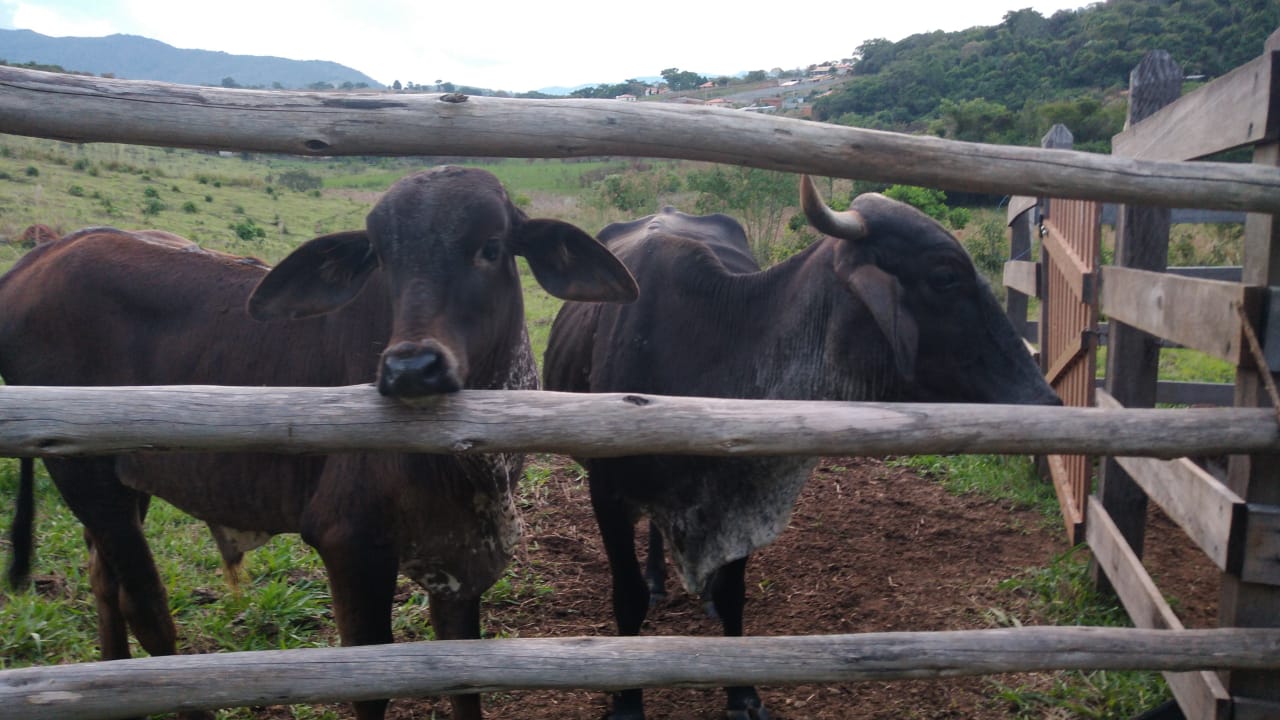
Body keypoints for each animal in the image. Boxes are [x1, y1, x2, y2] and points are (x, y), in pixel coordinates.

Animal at [0, 165, 640, 717]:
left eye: (491, 246)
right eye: (381, 256)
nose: (411, 368)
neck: (471, 462)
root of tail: (38, 257)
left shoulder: (460, 564)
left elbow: (465, 682)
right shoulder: (349, 544)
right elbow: (370, 686)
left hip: (120, 480)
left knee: (104, 582)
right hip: (87, 480)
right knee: (148, 609)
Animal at [542, 174, 1059, 717]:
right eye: (945, 276)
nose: (1044, 397)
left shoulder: (743, 489)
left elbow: (734, 593)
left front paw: (742, 691)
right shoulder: (607, 494)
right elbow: (627, 598)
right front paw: (627, 700)